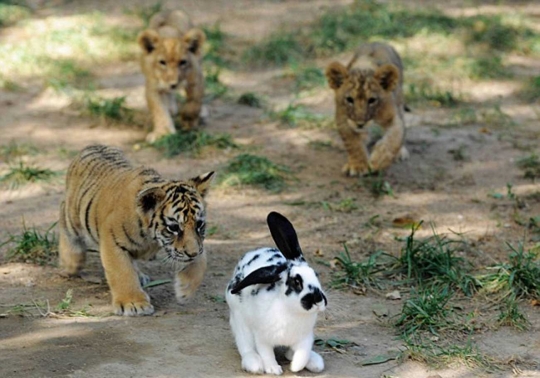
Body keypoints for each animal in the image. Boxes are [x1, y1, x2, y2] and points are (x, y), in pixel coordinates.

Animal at [225, 211, 326, 374]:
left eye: (316, 275)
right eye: (296, 282)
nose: (318, 300)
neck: (292, 312)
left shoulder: (305, 338)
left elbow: (302, 354)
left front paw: (295, 366)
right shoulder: (262, 337)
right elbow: (266, 353)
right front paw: (274, 369)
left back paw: (314, 361)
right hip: (239, 321)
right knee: (245, 345)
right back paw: (254, 364)